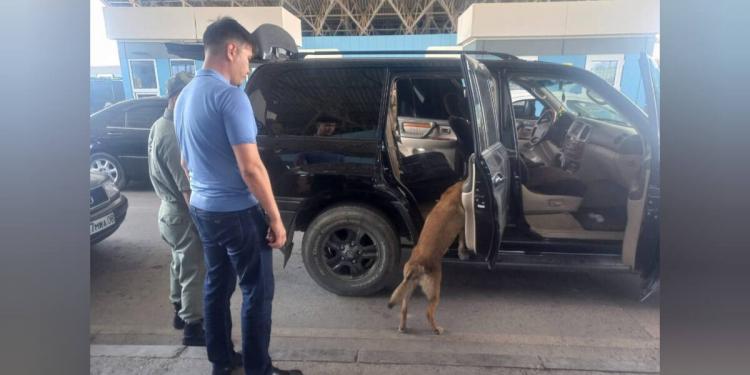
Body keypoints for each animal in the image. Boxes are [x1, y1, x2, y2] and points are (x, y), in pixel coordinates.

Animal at [388, 182, 470, 334]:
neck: (449, 197)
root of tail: (415, 264)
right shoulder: (462, 227)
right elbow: (462, 240)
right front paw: (463, 253)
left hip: (408, 288)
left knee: (404, 309)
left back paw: (402, 327)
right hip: (434, 292)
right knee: (428, 313)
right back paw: (437, 329)